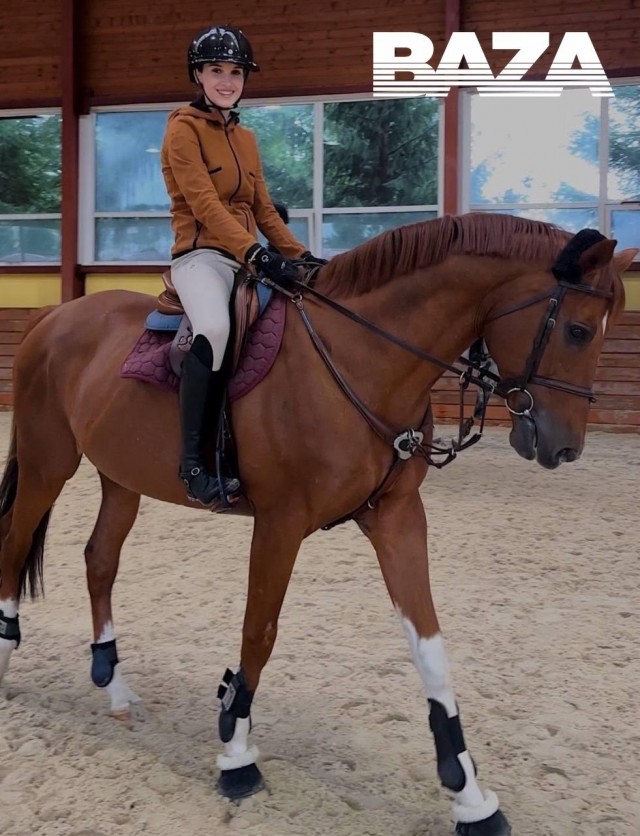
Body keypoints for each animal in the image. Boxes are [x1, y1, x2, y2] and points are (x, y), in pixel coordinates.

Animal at [0, 213, 635, 835]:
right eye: (578, 331)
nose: (564, 448)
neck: (361, 354)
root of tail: (56, 316)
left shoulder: (397, 518)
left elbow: (430, 649)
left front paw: (471, 798)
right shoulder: (280, 522)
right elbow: (259, 633)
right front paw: (236, 753)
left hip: (120, 476)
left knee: (100, 559)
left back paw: (114, 685)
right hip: (47, 462)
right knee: (15, 543)